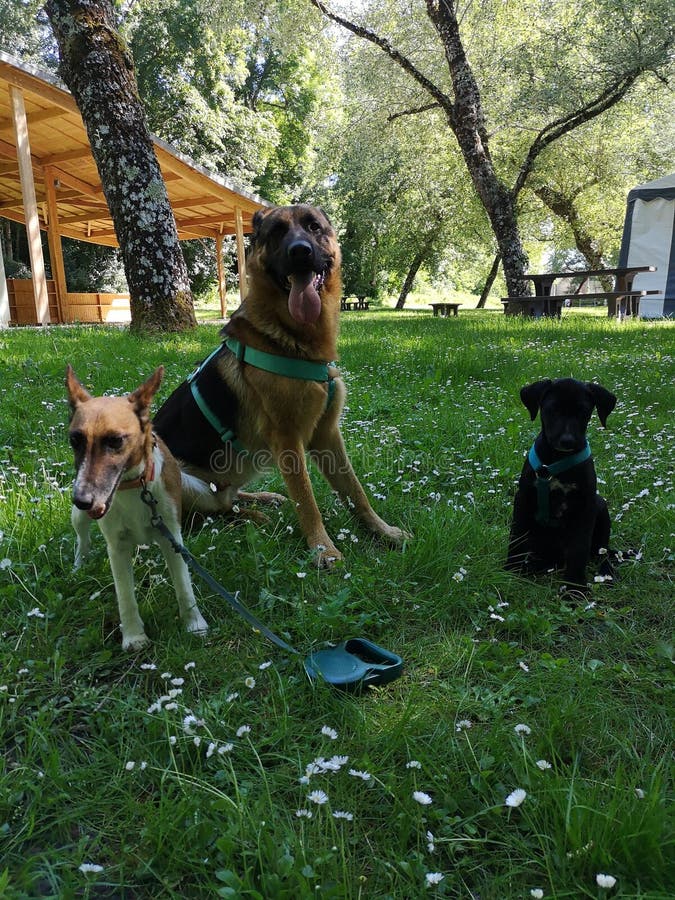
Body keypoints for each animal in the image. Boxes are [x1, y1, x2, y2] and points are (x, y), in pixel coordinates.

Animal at [67, 362, 209, 652]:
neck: (134, 485)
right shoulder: (116, 546)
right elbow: (125, 596)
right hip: (78, 517)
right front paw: (133, 635)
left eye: (115, 440)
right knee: (82, 537)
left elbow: (184, 584)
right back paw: (79, 564)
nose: (83, 499)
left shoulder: (172, 535)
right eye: (75, 440)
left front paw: (194, 623)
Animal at [153, 207, 406, 568]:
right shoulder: (289, 441)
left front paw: (382, 531)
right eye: (276, 232)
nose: (300, 252)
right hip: (174, 475)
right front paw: (323, 550)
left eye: (314, 226)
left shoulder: (327, 435)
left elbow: (355, 490)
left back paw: (262, 500)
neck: (293, 342)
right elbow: (307, 500)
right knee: (209, 515)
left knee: (226, 498)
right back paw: (252, 517)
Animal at [508, 378, 616, 592]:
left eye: (583, 411)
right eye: (551, 410)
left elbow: (579, 549)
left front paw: (574, 588)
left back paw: (606, 572)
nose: (567, 441)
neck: (557, 459)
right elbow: (516, 536)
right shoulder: (523, 498)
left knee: (603, 552)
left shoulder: (585, 506)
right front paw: (510, 571)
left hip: (600, 505)